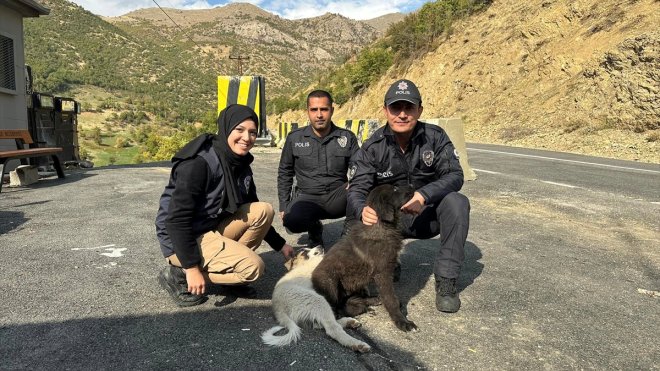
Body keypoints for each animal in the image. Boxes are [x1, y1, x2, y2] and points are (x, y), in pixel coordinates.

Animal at [310, 185, 416, 332]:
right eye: (395, 189)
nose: (412, 186)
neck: (381, 226)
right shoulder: (383, 273)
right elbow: (391, 299)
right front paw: (402, 322)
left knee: (353, 302)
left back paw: (372, 301)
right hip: (329, 282)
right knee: (331, 314)